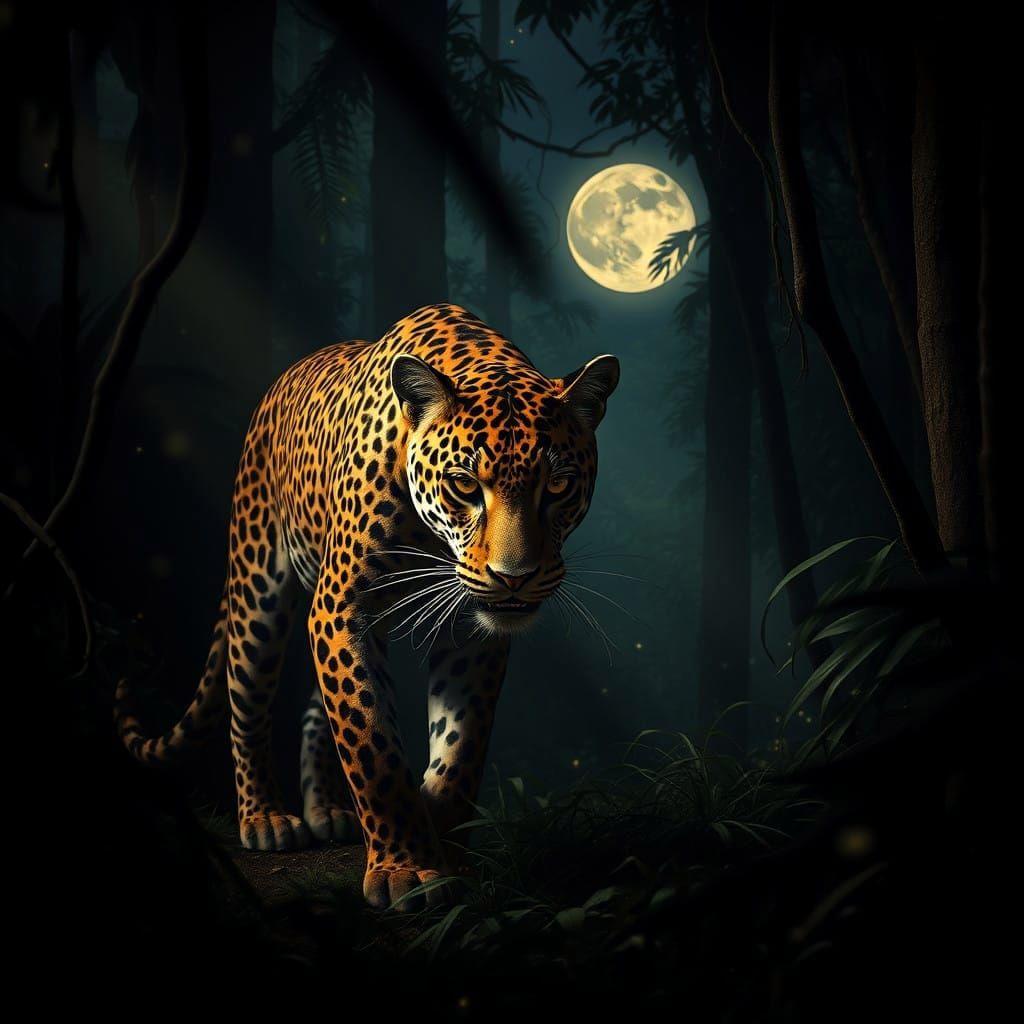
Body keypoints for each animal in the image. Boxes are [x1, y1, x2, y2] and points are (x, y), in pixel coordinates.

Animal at [116, 302, 619, 909]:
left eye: (560, 486)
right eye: (464, 484)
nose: (513, 578)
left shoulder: (472, 635)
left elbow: (459, 747)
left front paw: (445, 847)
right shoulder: (340, 611)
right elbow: (371, 744)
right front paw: (405, 868)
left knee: (315, 708)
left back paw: (328, 810)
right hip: (258, 585)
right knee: (247, 698)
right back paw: (265, 818)